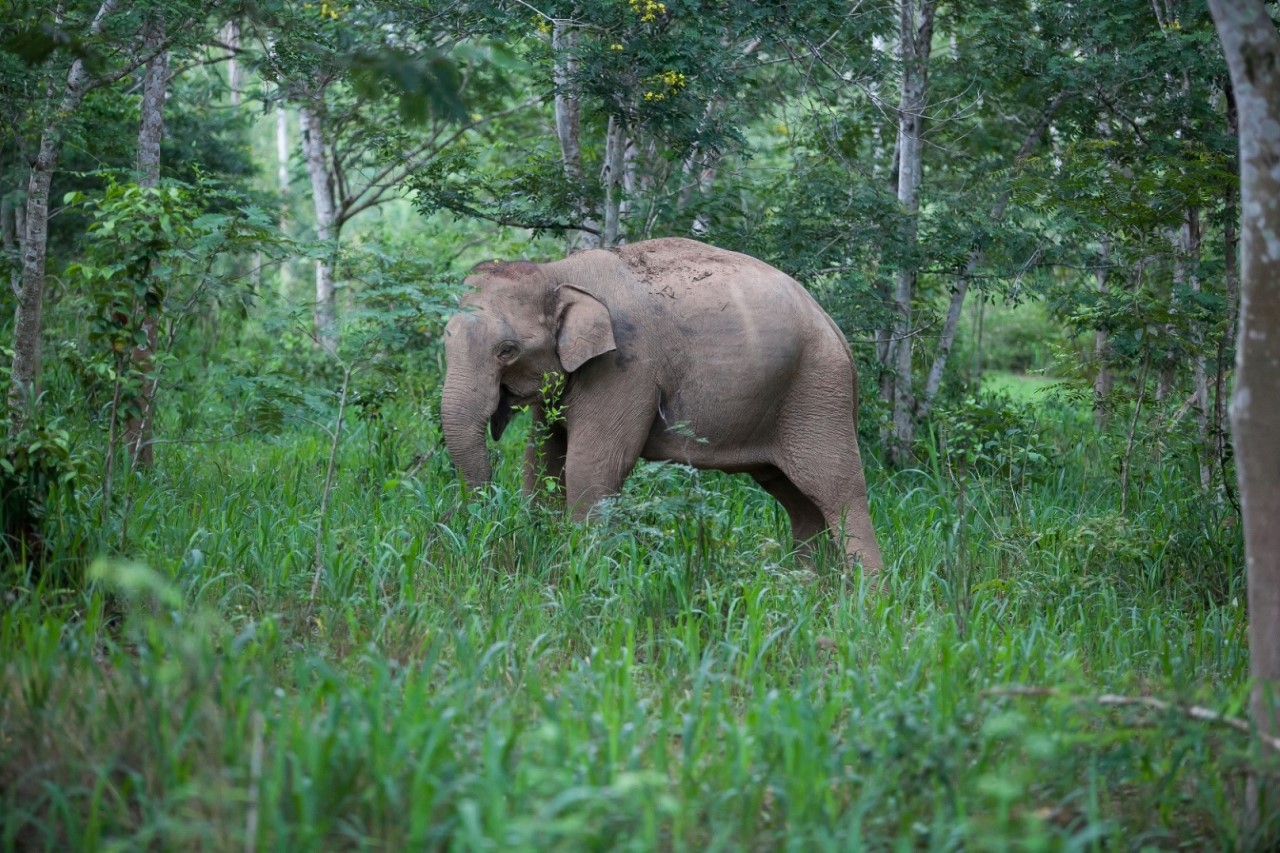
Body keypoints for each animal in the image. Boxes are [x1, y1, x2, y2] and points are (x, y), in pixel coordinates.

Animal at [437, 235, 880, 571]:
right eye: (446, 335)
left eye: (507, 351)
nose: (483, 525)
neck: (557, 272)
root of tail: (834, 328)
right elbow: (542, 459)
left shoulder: (625, 368)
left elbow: (592, 466)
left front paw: (583, 572)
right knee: (797, 498)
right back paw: (805, 589)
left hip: (817, 392)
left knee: (838, 489)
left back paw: (866, 599)